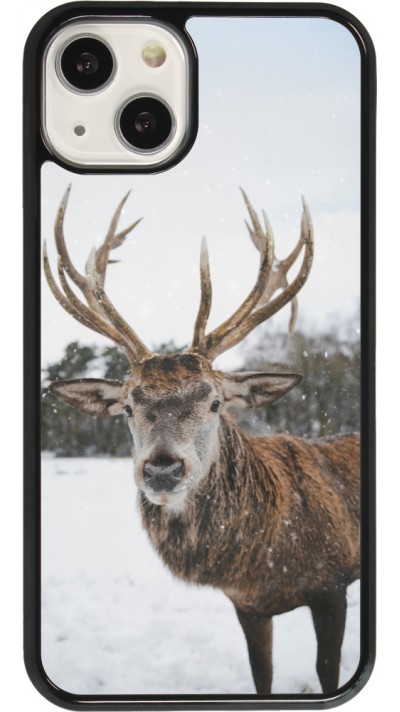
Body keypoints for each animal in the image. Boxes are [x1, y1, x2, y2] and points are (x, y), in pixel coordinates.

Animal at [43, 187, 360, 695]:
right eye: (128, 407)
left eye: (214, 402)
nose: (162, 468)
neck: (265, 563)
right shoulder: (247, 605)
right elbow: (262, 676)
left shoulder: (333, 585)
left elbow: (328, 672)